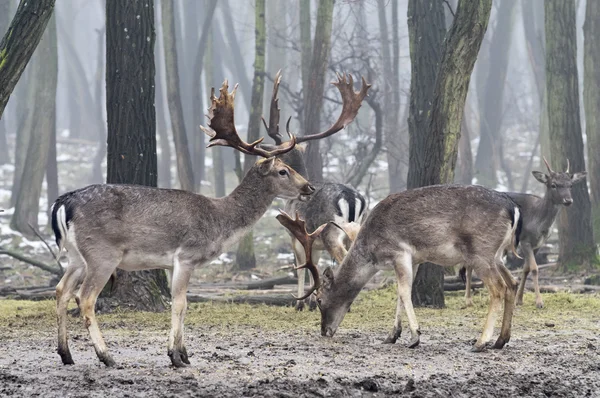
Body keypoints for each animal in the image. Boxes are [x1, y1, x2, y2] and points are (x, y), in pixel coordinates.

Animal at [51, 79, 314, 368]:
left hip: (76, 255)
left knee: (61, 290)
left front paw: (184, 354)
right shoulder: (186, 256)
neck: (220, 222)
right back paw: (106, 356)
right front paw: (175, 356)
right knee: (85, 297)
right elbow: (180, 304)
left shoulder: (174, 263)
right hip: (102, 253)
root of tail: (64, 202)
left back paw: (66, 354)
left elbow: (182, 304)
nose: (309, 187)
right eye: (283, 171)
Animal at [262, 70, 370, 310]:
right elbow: (316, 268)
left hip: (332, 232)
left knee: (343, 258)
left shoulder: (295, 233)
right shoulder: (316, 243)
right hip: (357, 228)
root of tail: (351, 198)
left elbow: (302, 267)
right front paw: (311, 300)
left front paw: (300, 303)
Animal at [288, 184, 524, 352]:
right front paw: (392, 335)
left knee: (498, 288)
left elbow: (402, 291)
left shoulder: (399, 252)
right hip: (497, 255)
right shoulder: (414, 259)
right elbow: (402, 294)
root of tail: (513, 209)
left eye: (319, 299)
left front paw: (414, 337)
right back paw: (501, 340)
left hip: (481, 252)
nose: (324, 331)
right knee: (513, 283)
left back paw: (480, 342)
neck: (373, 253)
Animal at [464, 157, 584, 310]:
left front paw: (519, 299)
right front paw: (539, 302)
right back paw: (468, 300)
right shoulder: (525, 240)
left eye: (571, 185)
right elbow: (534, 268)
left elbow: (526, 268)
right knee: (470, 263)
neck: (539, 222)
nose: (568, 200)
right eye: (554, 185)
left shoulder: (538, 243)